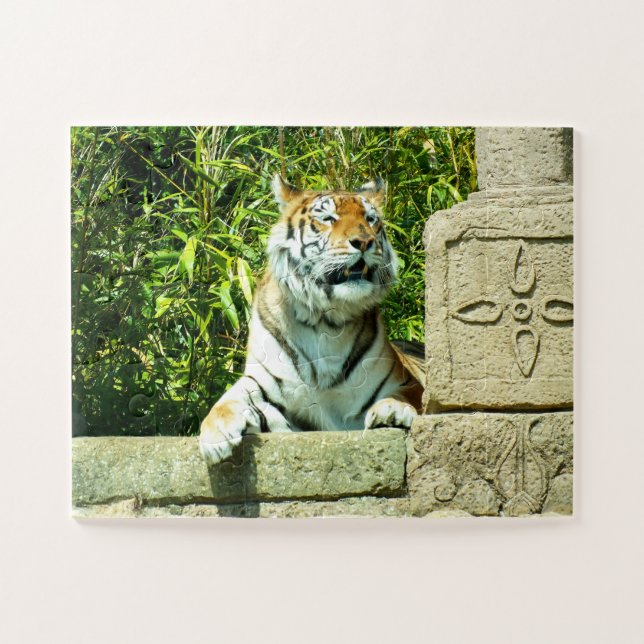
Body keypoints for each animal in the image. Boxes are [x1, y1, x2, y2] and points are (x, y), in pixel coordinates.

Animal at [199, 174, 424, 464]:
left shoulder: (405, 381)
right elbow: (230, 399)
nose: (364, 241)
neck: (326, 321)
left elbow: (407, 395)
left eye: (370, 219)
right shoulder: (264, 384)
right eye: (328, 218)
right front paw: (215, 435)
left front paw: (393, 409)